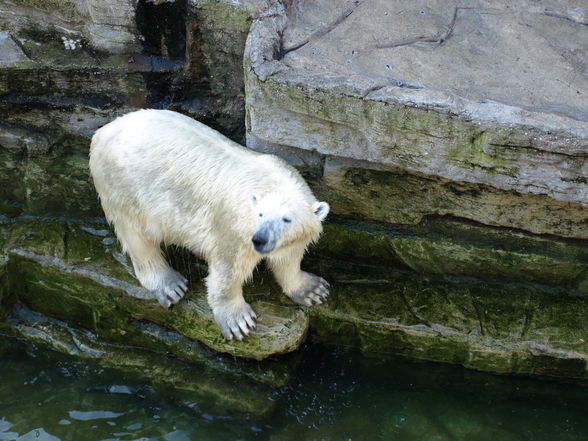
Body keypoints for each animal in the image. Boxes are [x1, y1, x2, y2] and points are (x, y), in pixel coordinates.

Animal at [90, 110, 330, 340]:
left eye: (286, 219)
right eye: (260, 214)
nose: (260, 240)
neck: (269, 181)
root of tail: (103, 131)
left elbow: (288, 258)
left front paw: (313, 290)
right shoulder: (233, 228)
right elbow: (228, 271)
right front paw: (238, 321)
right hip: (124, 186)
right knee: (137, 236)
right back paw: (170, 285)